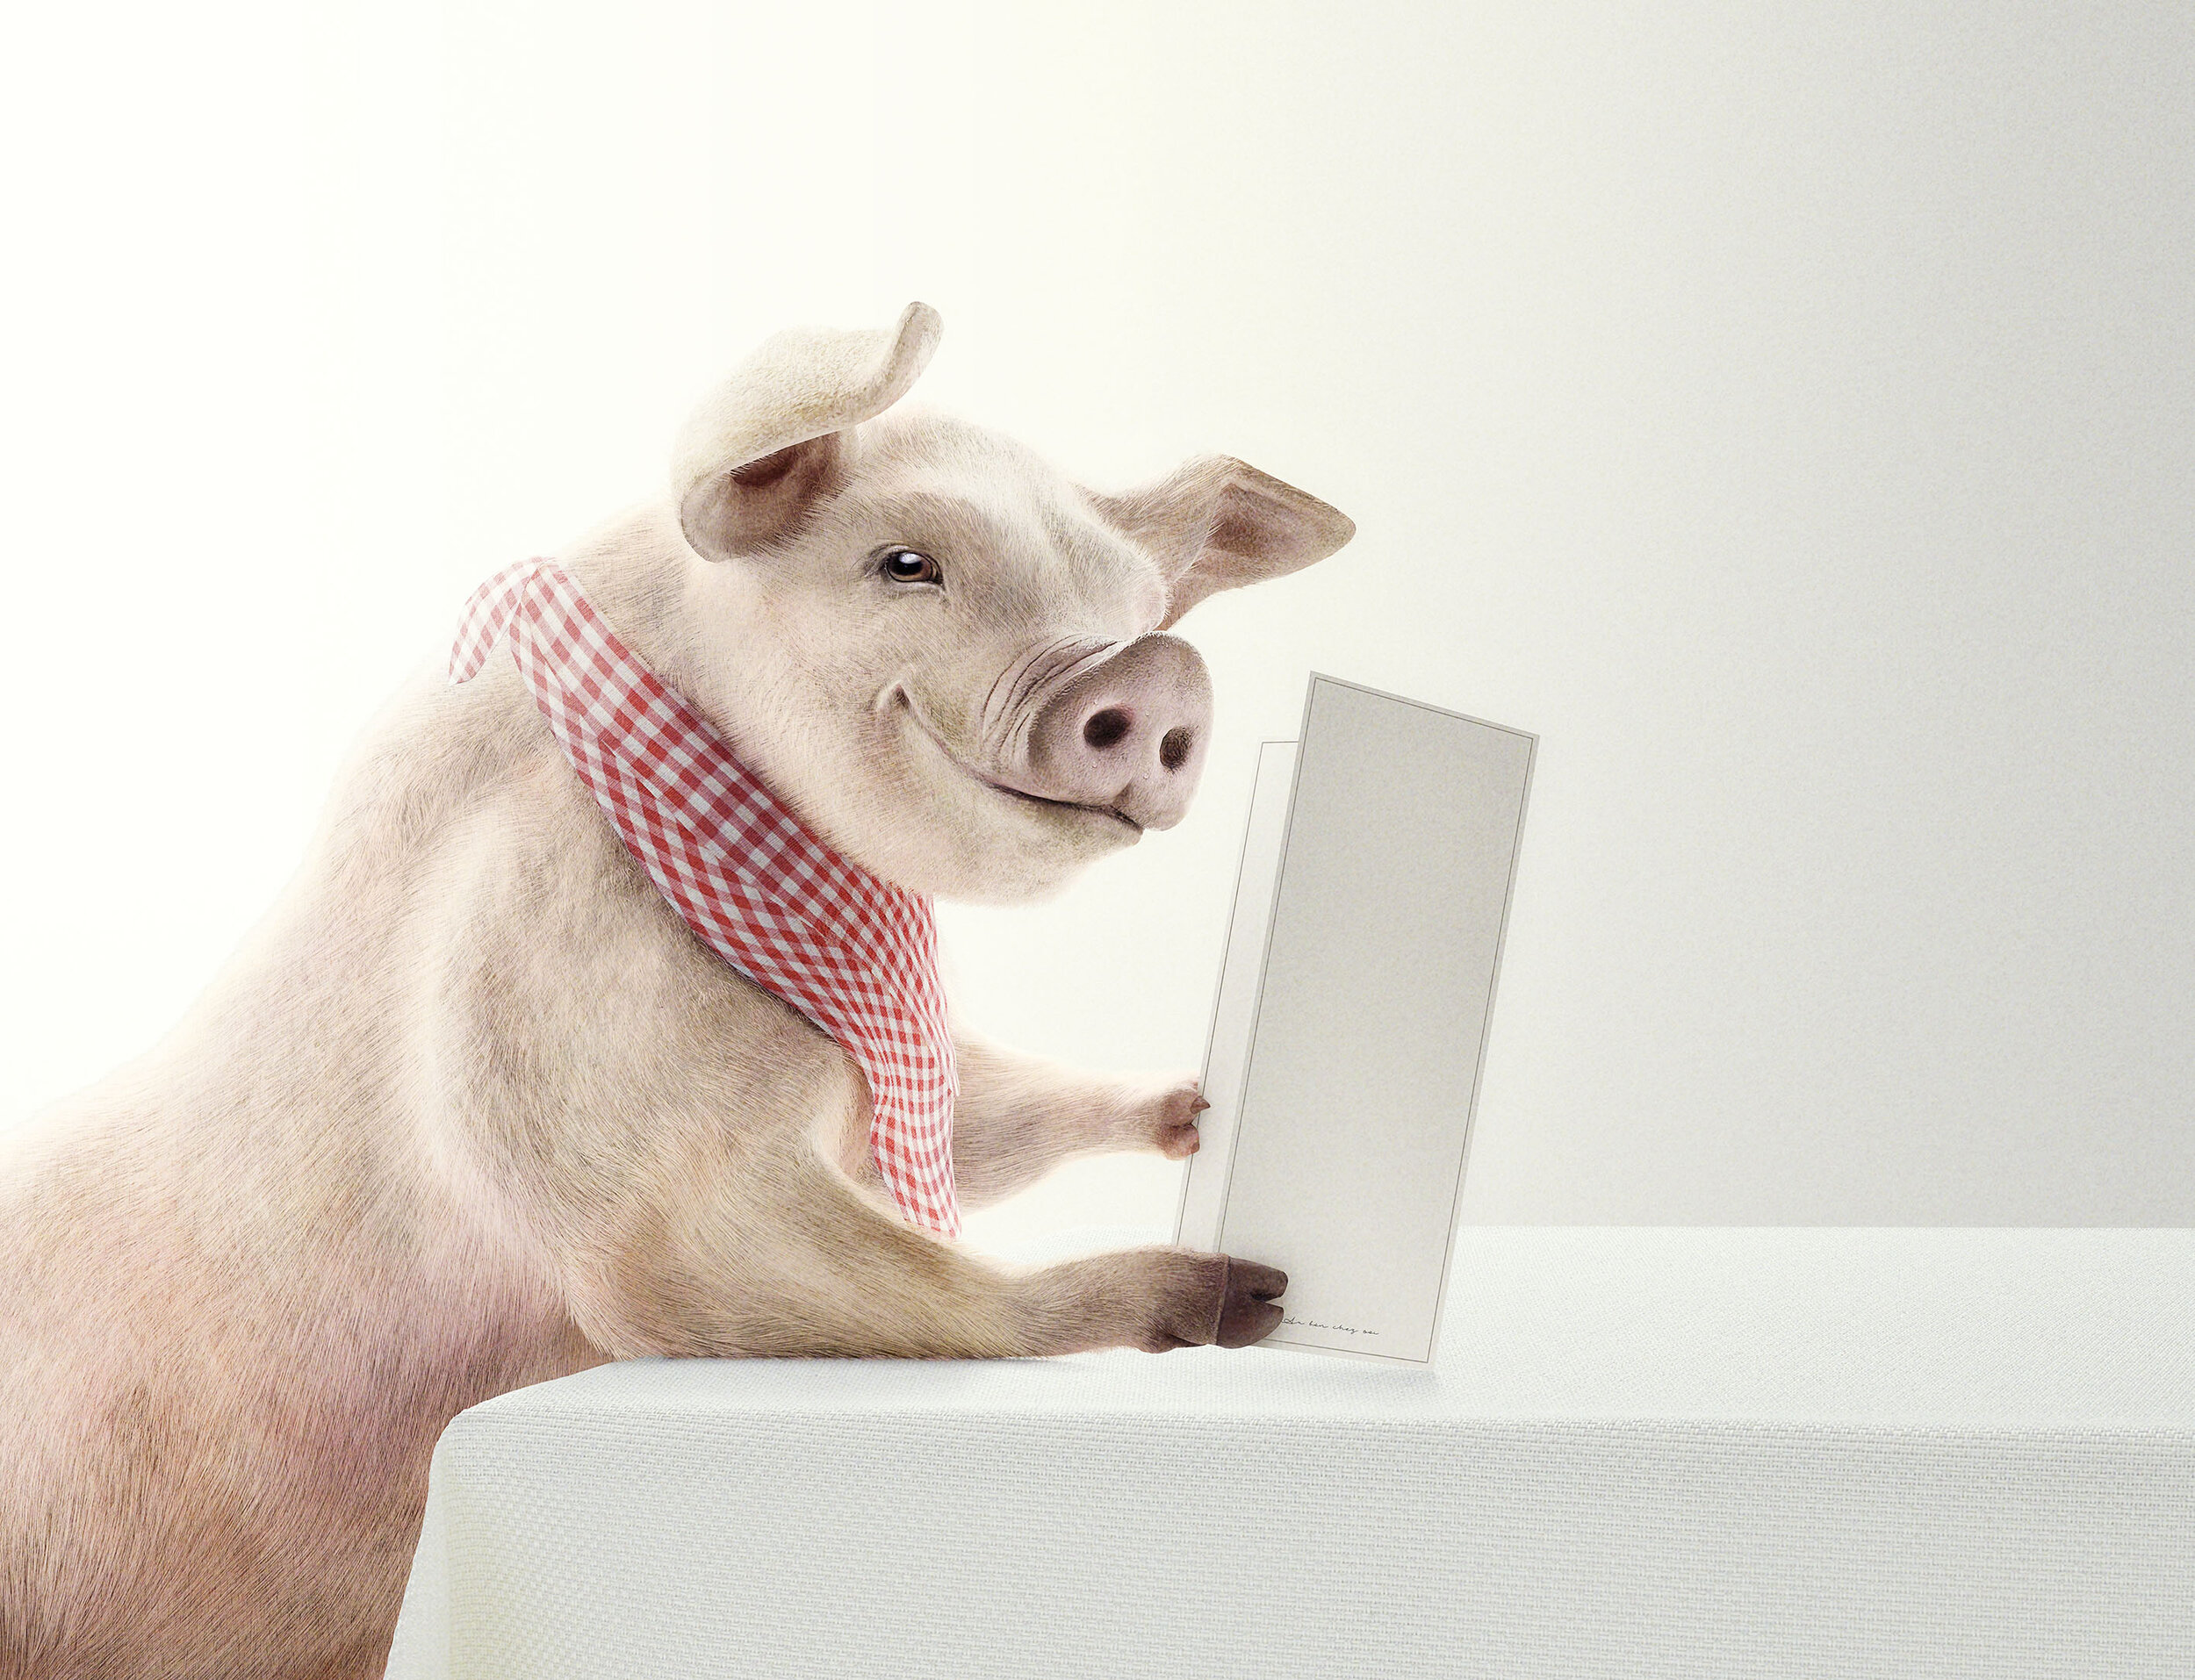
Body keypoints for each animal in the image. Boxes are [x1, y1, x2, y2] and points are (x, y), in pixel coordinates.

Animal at [0, 303, 1354, 1679]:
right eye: (905, 563)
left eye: (1131, 602)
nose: (1156, 666)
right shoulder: (549, 1000)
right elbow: (694, 1254)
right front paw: (1241, 1293)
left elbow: (982, 1123)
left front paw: (1189, 1110)